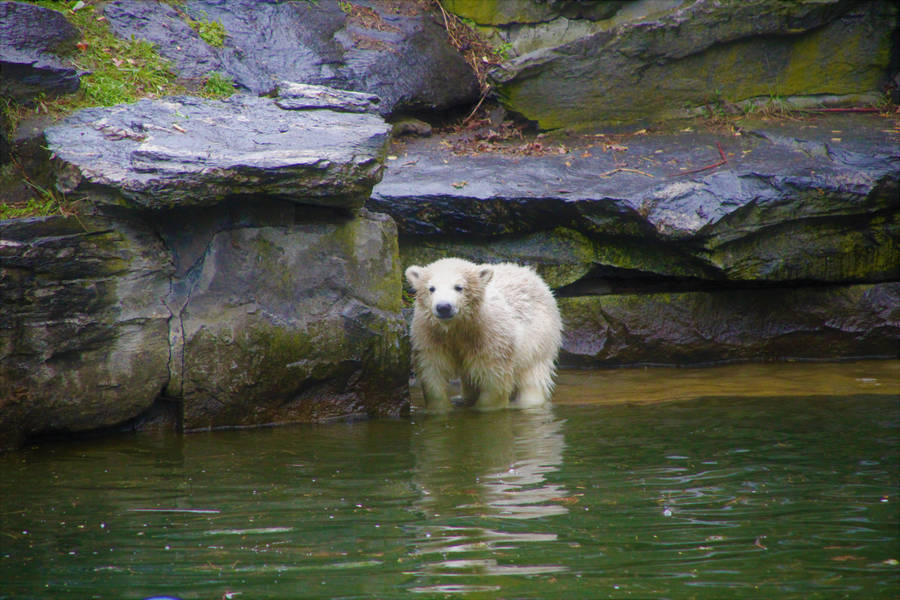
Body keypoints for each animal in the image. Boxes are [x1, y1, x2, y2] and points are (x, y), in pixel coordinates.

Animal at [404, 258, 562, 412]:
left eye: (458, 287)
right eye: (431, 288)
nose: (443, 307)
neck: (458, 328)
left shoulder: (491, 340)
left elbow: (493, 380)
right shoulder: (430, 336)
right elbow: (433, 372)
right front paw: (440, 407)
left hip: (539, 337)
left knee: (533, 376)